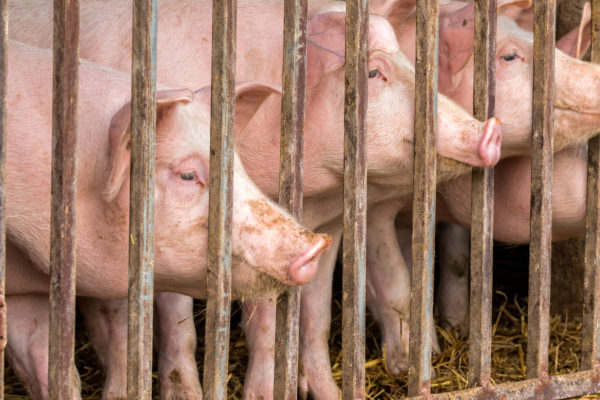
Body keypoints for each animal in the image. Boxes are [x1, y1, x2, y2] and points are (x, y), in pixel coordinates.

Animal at [368, 0, 596, 378]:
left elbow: (458, 259)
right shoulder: (371, 202)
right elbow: (392, 278)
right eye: (509, 56)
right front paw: (414, 366)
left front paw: (458, 326)